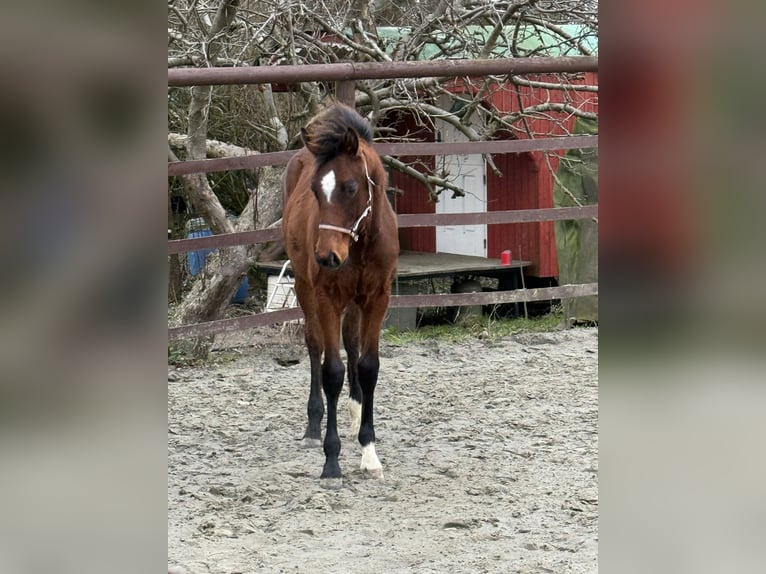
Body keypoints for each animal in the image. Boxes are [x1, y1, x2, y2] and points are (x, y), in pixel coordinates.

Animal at [282, 103, 399, 489]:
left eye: (350, 187)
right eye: (316, 191)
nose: (327, 257)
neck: (359, 245)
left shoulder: (377, 298)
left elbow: (368, 366)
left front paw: (369, 452)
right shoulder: (327, 298)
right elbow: (331, 371)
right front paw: (331, 463)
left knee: (352, 344)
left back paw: (354, 413)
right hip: (306, 289)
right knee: (315, 345)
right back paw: (313, 427)